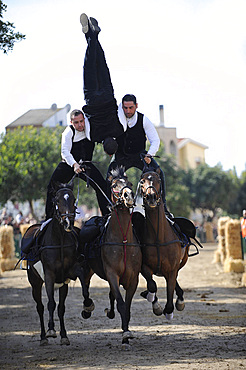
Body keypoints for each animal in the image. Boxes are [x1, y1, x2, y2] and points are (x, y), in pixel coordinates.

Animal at [22, 184, 94, 346]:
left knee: (60, 307)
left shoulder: (69, 273)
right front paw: (51, 330)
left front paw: (87, 307)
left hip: (61, 285)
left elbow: (82, 290)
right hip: (35, 282)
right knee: (40, 307)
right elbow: (50, 304)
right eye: (57, 200)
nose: (68, 222)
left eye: (73, 200)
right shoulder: (49, 275)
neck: (59, 241)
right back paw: (43, 337)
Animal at [80, 168, 141, 346]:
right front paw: (126, 334)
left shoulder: (133, 278)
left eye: (130, 183)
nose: (128, 196)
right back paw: (87, 308)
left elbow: (126, 305)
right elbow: (121, 303)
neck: (123, 241)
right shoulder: (112, 274)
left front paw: (126, 329)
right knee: (84, 285)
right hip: (86, 268)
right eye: (114, 185)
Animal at [137, 169, 187, 320]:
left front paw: (169, 309)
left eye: (158, 180)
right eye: (142, 181)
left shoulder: (172, 268)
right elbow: (152, 285)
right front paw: (154, 302)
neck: (158, 239)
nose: (151, 196)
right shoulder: (144, 266)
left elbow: (170, 289)